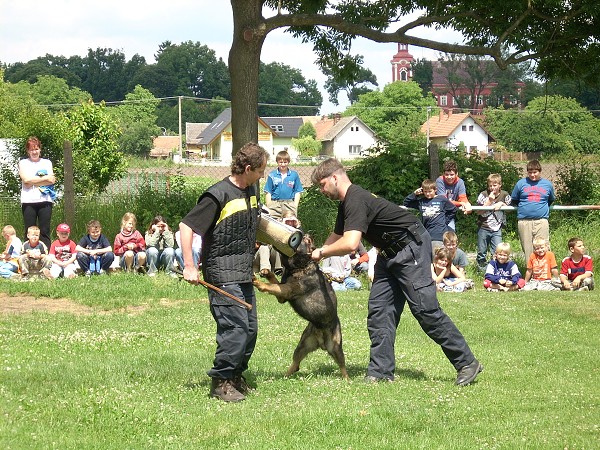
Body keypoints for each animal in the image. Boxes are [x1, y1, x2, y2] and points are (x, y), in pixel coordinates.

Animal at [252, 236, 346, 380]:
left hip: (335, 347)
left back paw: (347, 380)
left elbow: (272, 286)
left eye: (305, 240)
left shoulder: (287, 290)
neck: (300, 266)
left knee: (342, 366)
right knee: (296, 364)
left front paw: (259, 282)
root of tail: (321, 342)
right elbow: (274, 282)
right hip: (303, 345)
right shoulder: (282, 297)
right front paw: (267, 273)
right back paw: (285, 376)